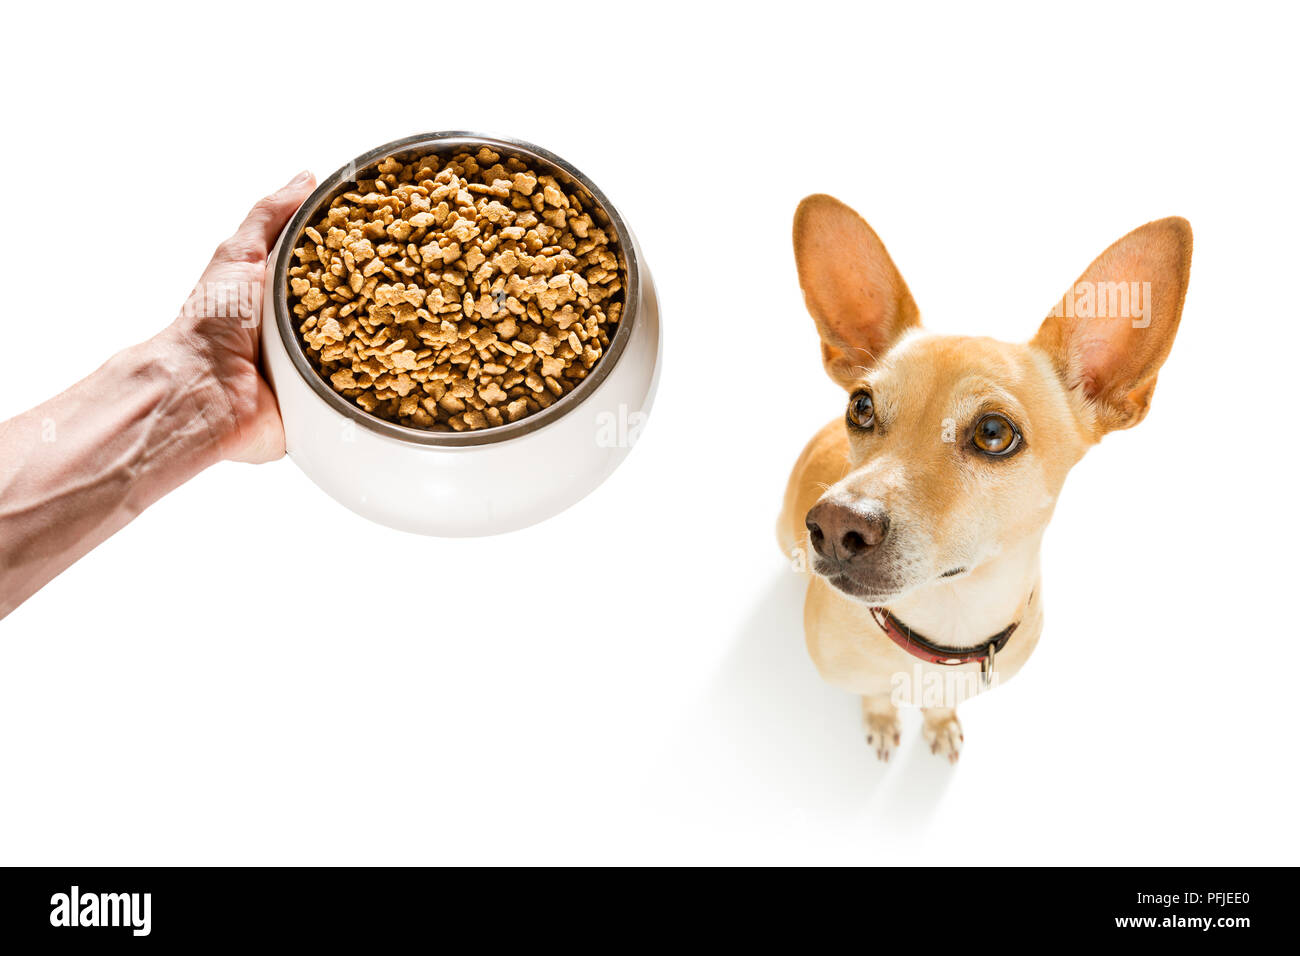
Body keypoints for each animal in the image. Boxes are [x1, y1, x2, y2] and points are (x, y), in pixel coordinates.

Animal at [774, 195, 1190, 764]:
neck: (945, 626)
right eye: (860, 407)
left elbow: (938, 706)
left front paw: (940, 721)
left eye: (994, 433)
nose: (836, 525)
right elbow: (874, 694)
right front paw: (881, 719)